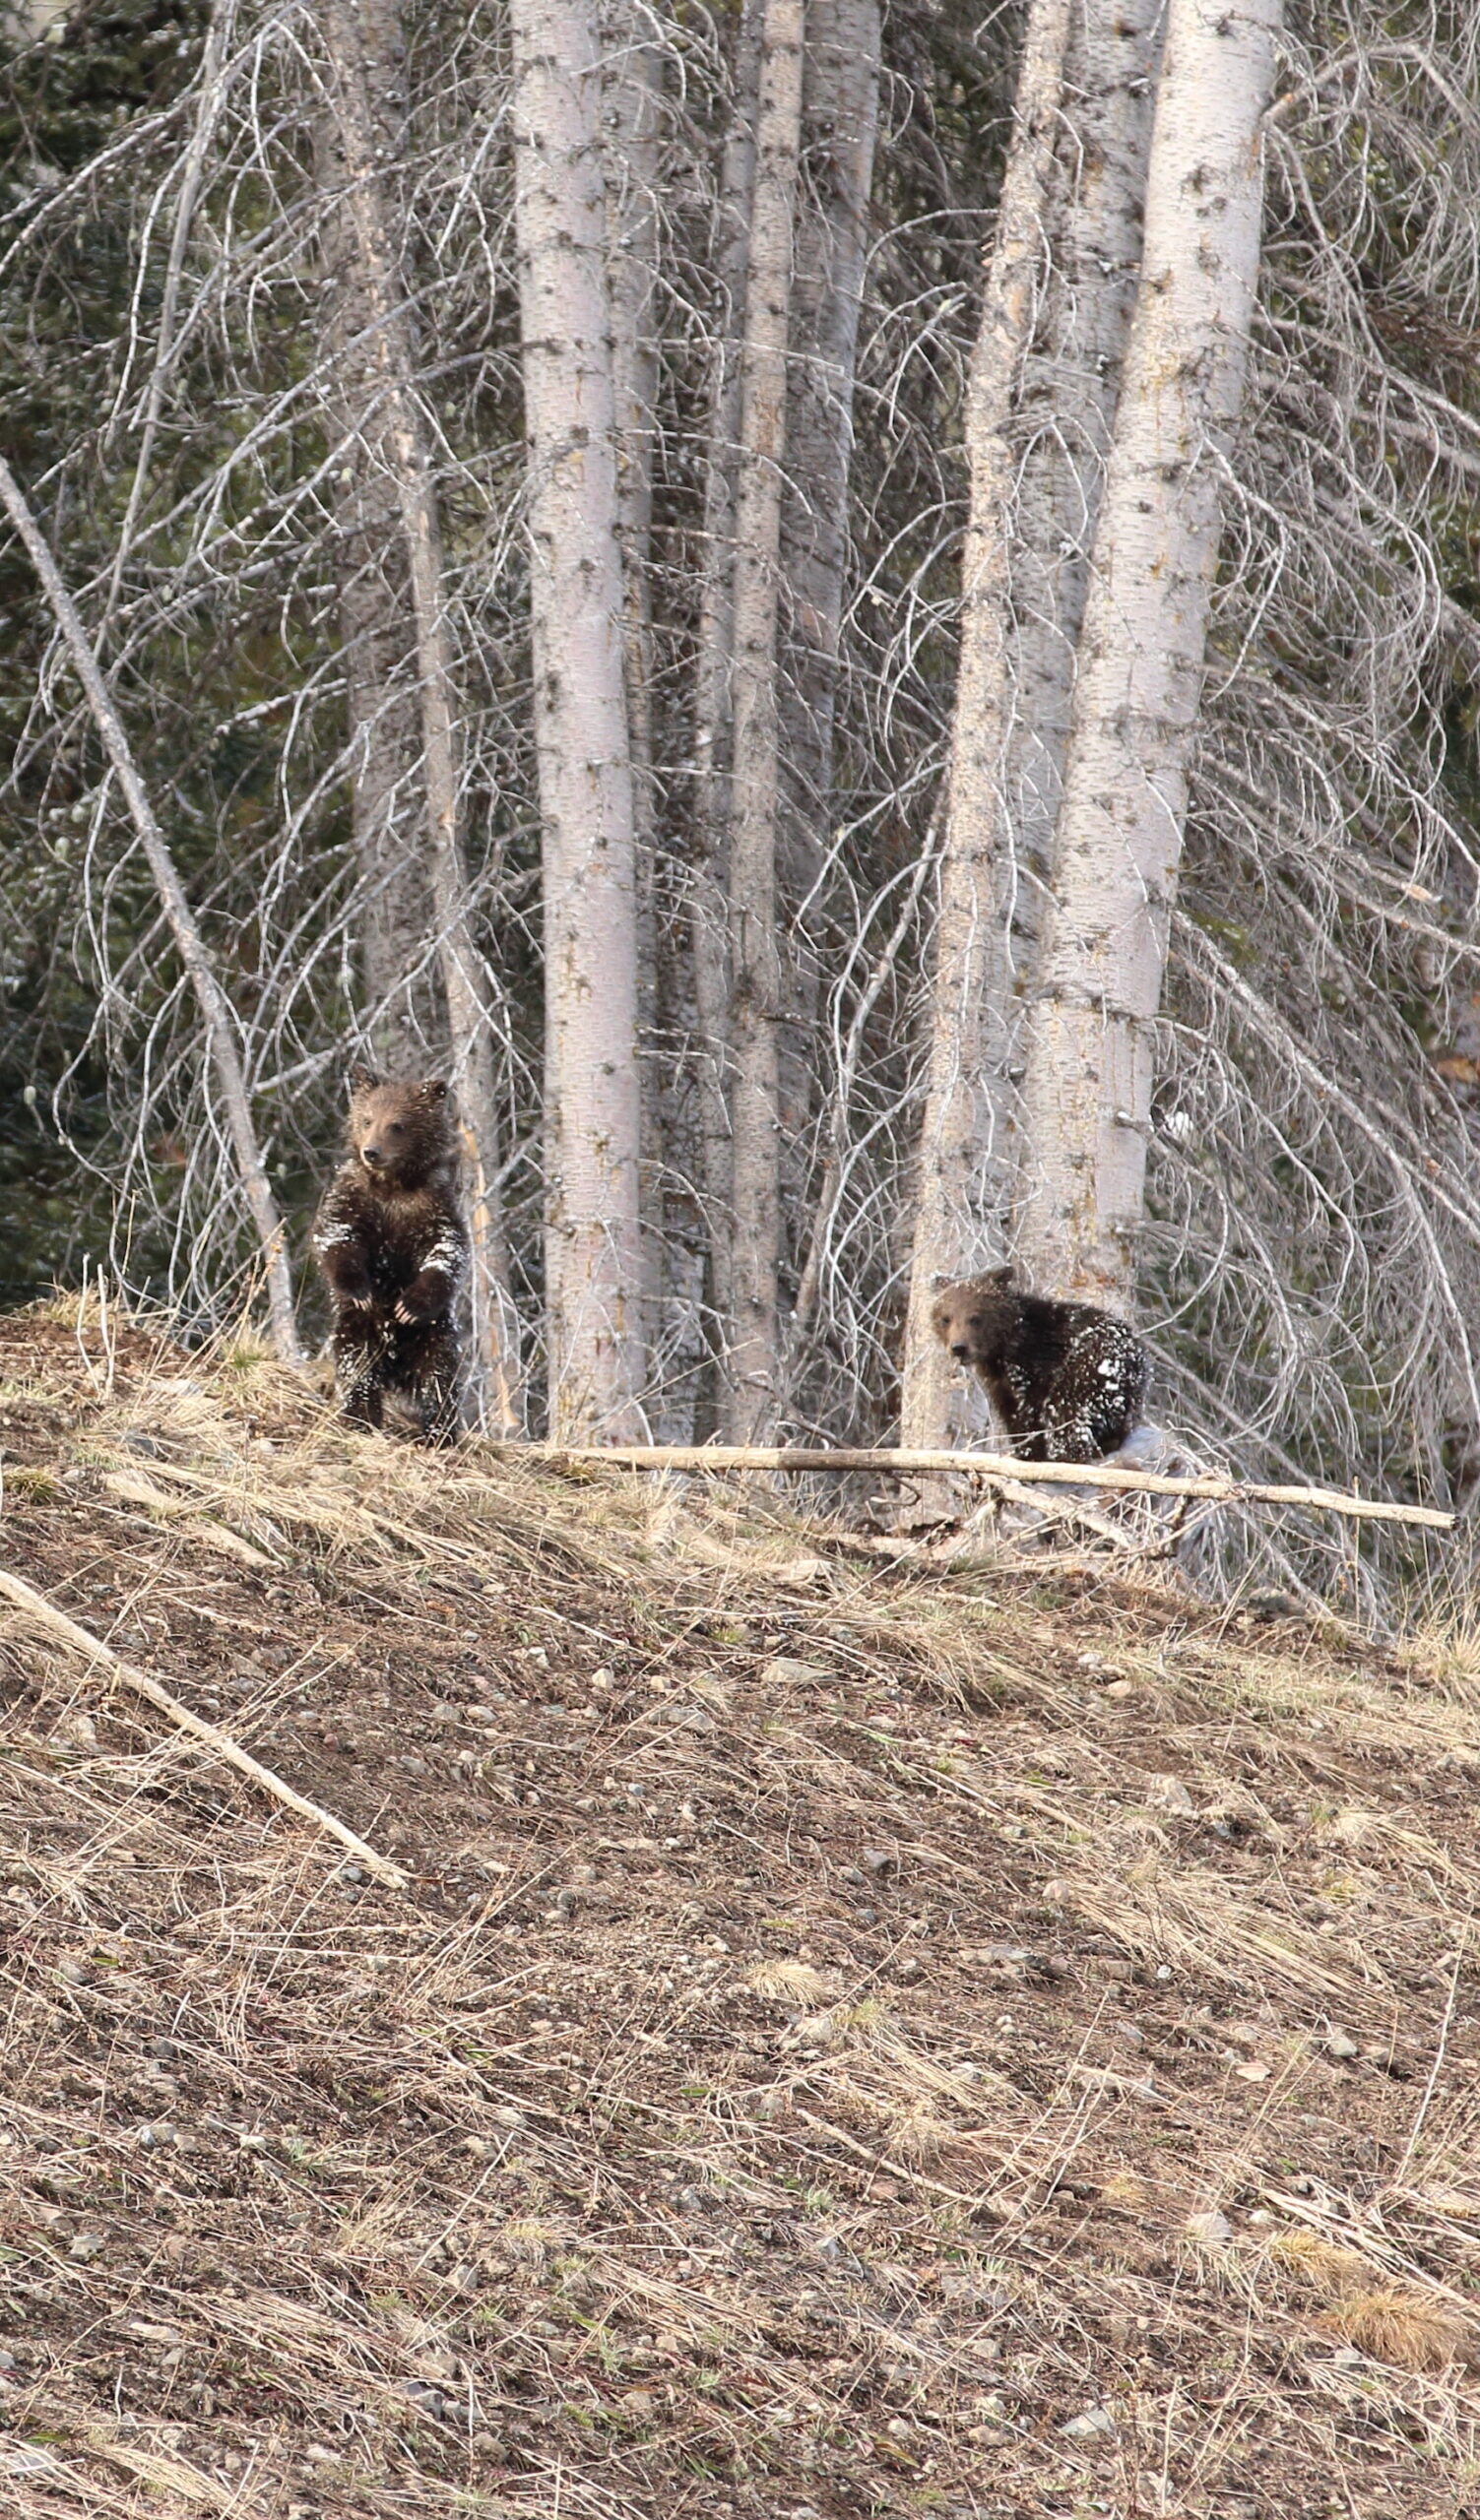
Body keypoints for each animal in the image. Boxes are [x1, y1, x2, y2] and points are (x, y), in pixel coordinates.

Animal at [311, 1068, 468, 1445]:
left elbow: (445, 1252)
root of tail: (396, 1366)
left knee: (438, 1379)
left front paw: (409, 1306)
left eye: (397, 1125)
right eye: (368, 1119)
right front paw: (360, 1289)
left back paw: (439, 1431)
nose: (372, 1152)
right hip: (357, 1331)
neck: (393, 1185)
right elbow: (338, 1237)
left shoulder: (433, 1206)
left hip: (435, 1336)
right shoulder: (354, 1199)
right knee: (359, 1372)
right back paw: (361, 1419)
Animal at [930, 1265, 1149, 1465]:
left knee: (1067, 1412)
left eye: (975, 1318)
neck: (1002, 1349)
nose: (959, 1347)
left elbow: (1031, 1411)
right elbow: (1011, 1413)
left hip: (1088, 1369)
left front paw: (1031, 1452)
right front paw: (1021, 1450)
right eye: (946, 1318)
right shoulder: (1000, 1384)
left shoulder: (1035, 1365)